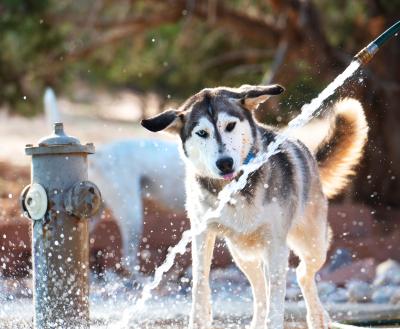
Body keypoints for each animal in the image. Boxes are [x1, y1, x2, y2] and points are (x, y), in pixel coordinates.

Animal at [141, 84, 368, 328]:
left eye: (230, 125)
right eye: (202, 133)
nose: (224, 163)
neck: (235, 188)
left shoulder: (276, 244)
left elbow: (276, 296)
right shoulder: (202, 232)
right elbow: (200, 279)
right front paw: (200, 318)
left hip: (312, 244)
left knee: (302, 273)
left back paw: (318, 316)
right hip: (243, 254)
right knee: (259, 287)